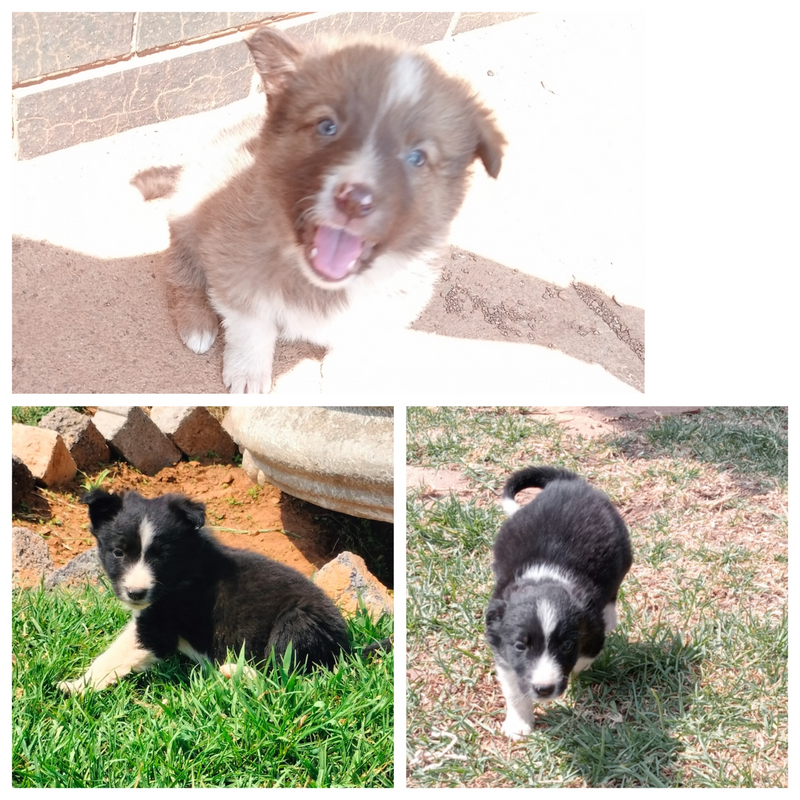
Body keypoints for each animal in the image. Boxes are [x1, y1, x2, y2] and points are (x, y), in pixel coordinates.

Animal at [57, 488, 352, 692]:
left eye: (162, 556)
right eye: (118, 553)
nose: (136, 593)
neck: (185, 565)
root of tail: (347, 649)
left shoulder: (160, 624)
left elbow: (114, 655)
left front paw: (75, 687)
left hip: (298, 622)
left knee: (284, 677)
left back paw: (236, 672)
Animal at [138, 28, 504, 394]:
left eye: (417, 157)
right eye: (327, 126)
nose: (355, 200)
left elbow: (355, 341)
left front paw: (346, 378)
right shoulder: (235, 268)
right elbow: (252, 327)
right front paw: (248, 375)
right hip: (189, 224)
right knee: (182, 274)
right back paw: (197, 324)